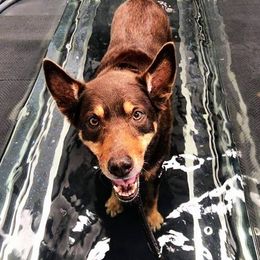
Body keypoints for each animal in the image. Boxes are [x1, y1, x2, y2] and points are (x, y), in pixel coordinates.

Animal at [43, 0, 176, 232]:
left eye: (137, 115)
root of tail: (142, 1)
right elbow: (114, 187)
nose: (120, 168)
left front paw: (152, 217)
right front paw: (115, 202)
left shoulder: (156, 169)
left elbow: (152, 195)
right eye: (93, 121)